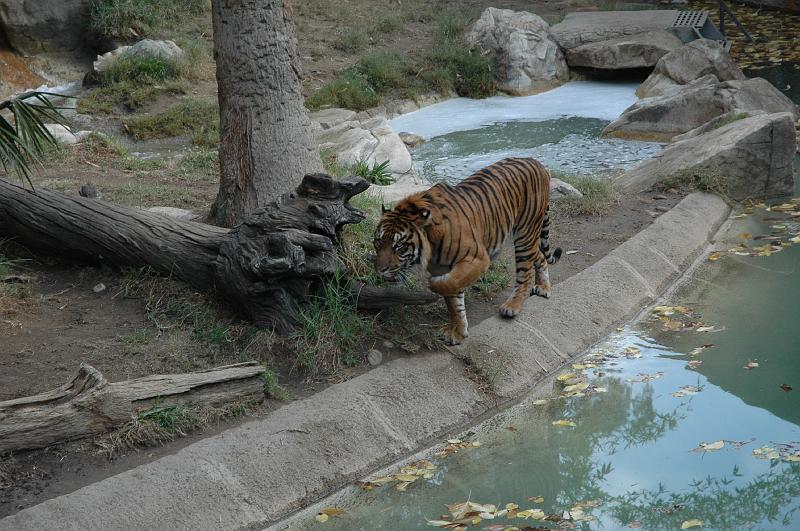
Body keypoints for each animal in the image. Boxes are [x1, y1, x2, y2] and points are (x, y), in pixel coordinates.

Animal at [376, 156, 564, 348]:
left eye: (399, 246)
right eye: (378, 242)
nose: (380, 270)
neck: (432, 244)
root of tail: (535, 162)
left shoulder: (477, 259)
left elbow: (447, 284)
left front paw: (434, 285)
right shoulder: (444, 267)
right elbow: (454, 302)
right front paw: (457, 332)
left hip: (525, 233)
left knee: (525, 273)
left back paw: (513, 306)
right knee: (539, 256)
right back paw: (543, 287)